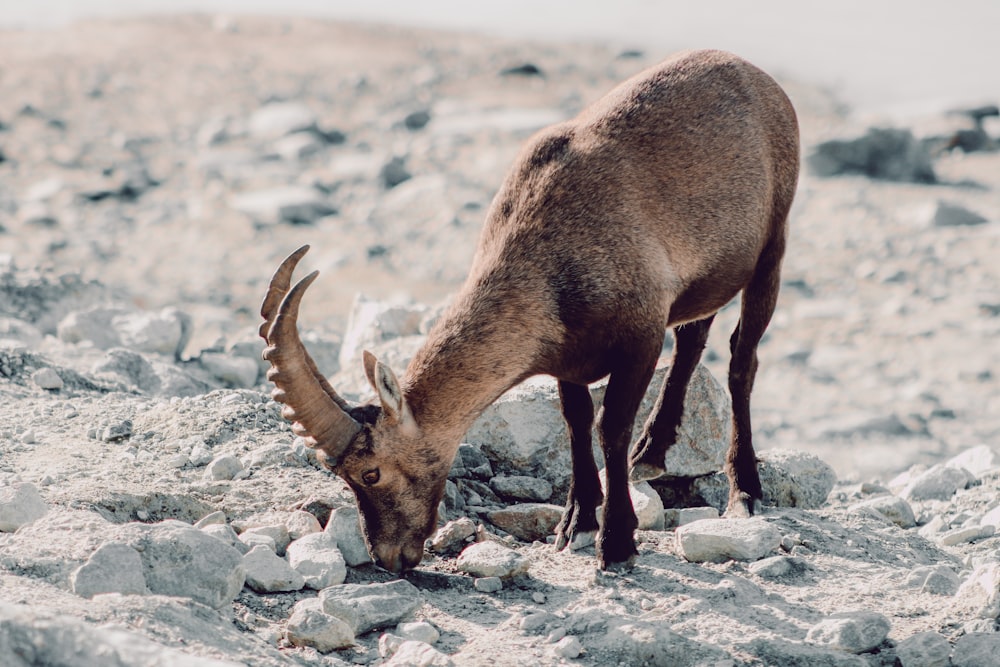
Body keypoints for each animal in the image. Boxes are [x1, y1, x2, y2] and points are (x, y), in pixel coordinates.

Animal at [262, 51, 800, 576]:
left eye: (369, 472)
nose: (388, 557)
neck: (545, 262)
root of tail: (754, 73)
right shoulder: (568, 357)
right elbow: (576, 422)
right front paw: (576, 523)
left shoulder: (640, 336)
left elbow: (610, 426)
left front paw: (616, 543)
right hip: (707, 280)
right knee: (693, 337)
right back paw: (654, 451)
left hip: (772, 245)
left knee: (741, 362)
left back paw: (744, 490)